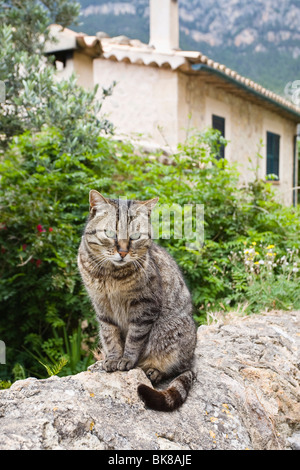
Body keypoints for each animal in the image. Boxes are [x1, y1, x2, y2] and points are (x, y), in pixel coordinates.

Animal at [78, 191, 197, 412]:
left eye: (134, 236)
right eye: (110, 233)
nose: (123, 252)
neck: (110, 274)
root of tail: (193, 356)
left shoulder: (145, 308)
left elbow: (134, 339)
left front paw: (126, 359)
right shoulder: (102, 307)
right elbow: (110, 336)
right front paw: (113, 359)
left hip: (173, 332)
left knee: (177, 369)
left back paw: (154, 371)